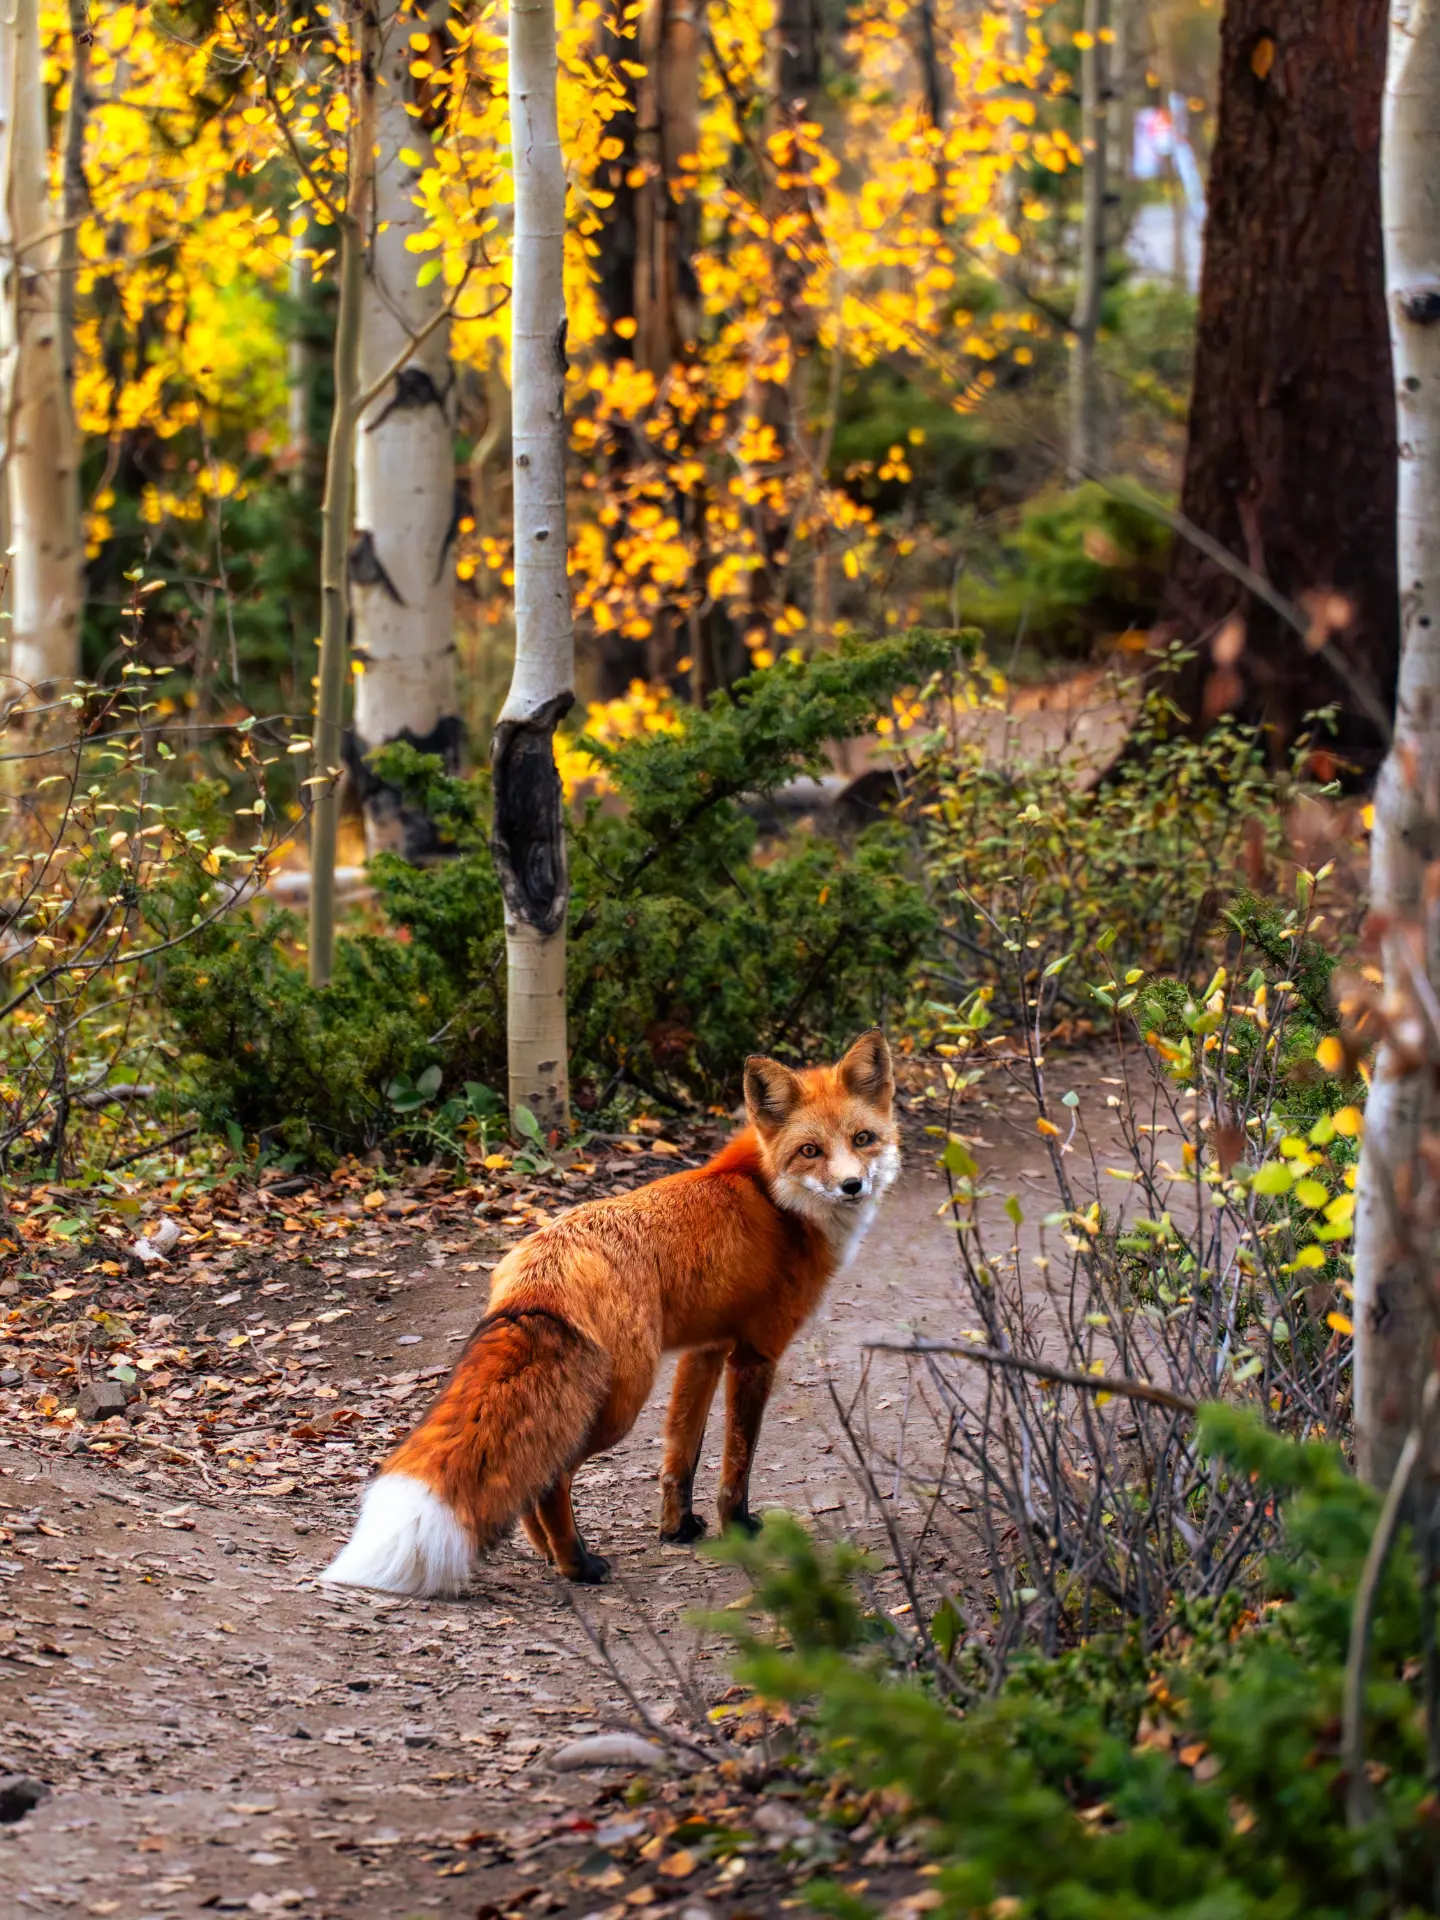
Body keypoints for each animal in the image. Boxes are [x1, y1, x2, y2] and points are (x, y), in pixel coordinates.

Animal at [319, 1029, 900, 1596]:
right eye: (810, 1150)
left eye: (862, 1140)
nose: (853, 1185)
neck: (775, 1199)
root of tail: (544, 1267)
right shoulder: (756, 1352)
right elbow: (738, 1461)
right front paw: (738, 1527)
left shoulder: (706, 1348)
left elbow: (680, 1455)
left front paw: (677, 1529)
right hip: (620, 1399)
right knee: (551, 1478)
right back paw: (577, 1564)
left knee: (530, 1479)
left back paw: (551, 1554)